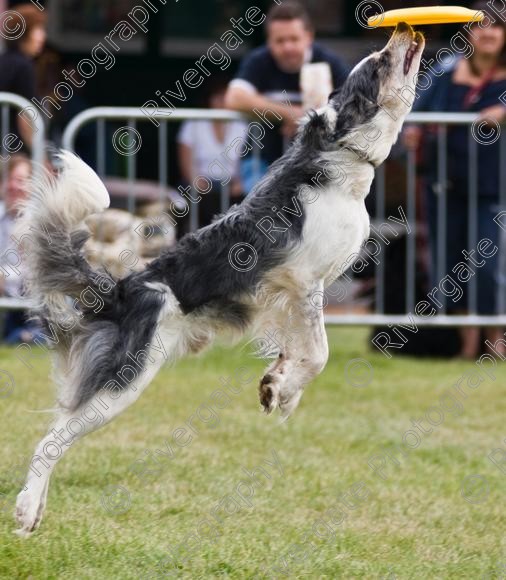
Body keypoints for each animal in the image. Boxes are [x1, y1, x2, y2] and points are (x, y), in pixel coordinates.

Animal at [14, 24, 422, 536]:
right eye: (378, 63)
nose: (403, 28)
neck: (342, 158)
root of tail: (122, 289)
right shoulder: (303, 283)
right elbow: (320, 353)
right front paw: (280, 389)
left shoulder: (290, 297)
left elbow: (300, 353)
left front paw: (279, 388)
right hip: (124, 381)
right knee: (50, 439)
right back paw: (27, 509)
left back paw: (36, 511)